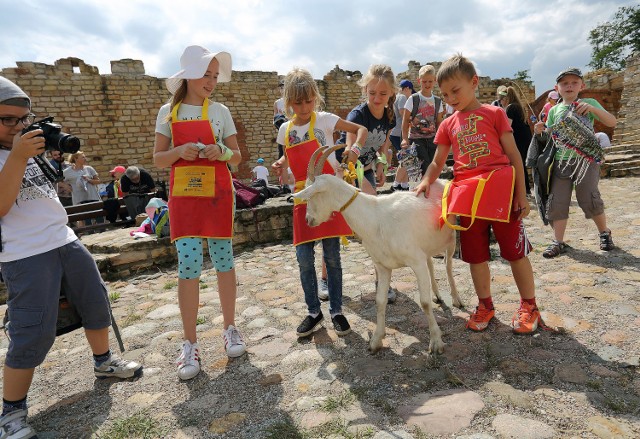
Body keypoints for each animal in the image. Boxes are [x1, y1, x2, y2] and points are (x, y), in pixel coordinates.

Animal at [296, 146, 460, 356]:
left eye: (311, 195)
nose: (308, 220)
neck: (375, 217)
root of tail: (442, 181)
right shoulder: (383, 266)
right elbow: (380, 301)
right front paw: (376, 340)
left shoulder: (415, 261)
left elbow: (423, 302)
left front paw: (436, 342)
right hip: (426, 245)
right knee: (432, 264)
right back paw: (438, 295)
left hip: (451, 239)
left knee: (448, 265)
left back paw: (456, 299)